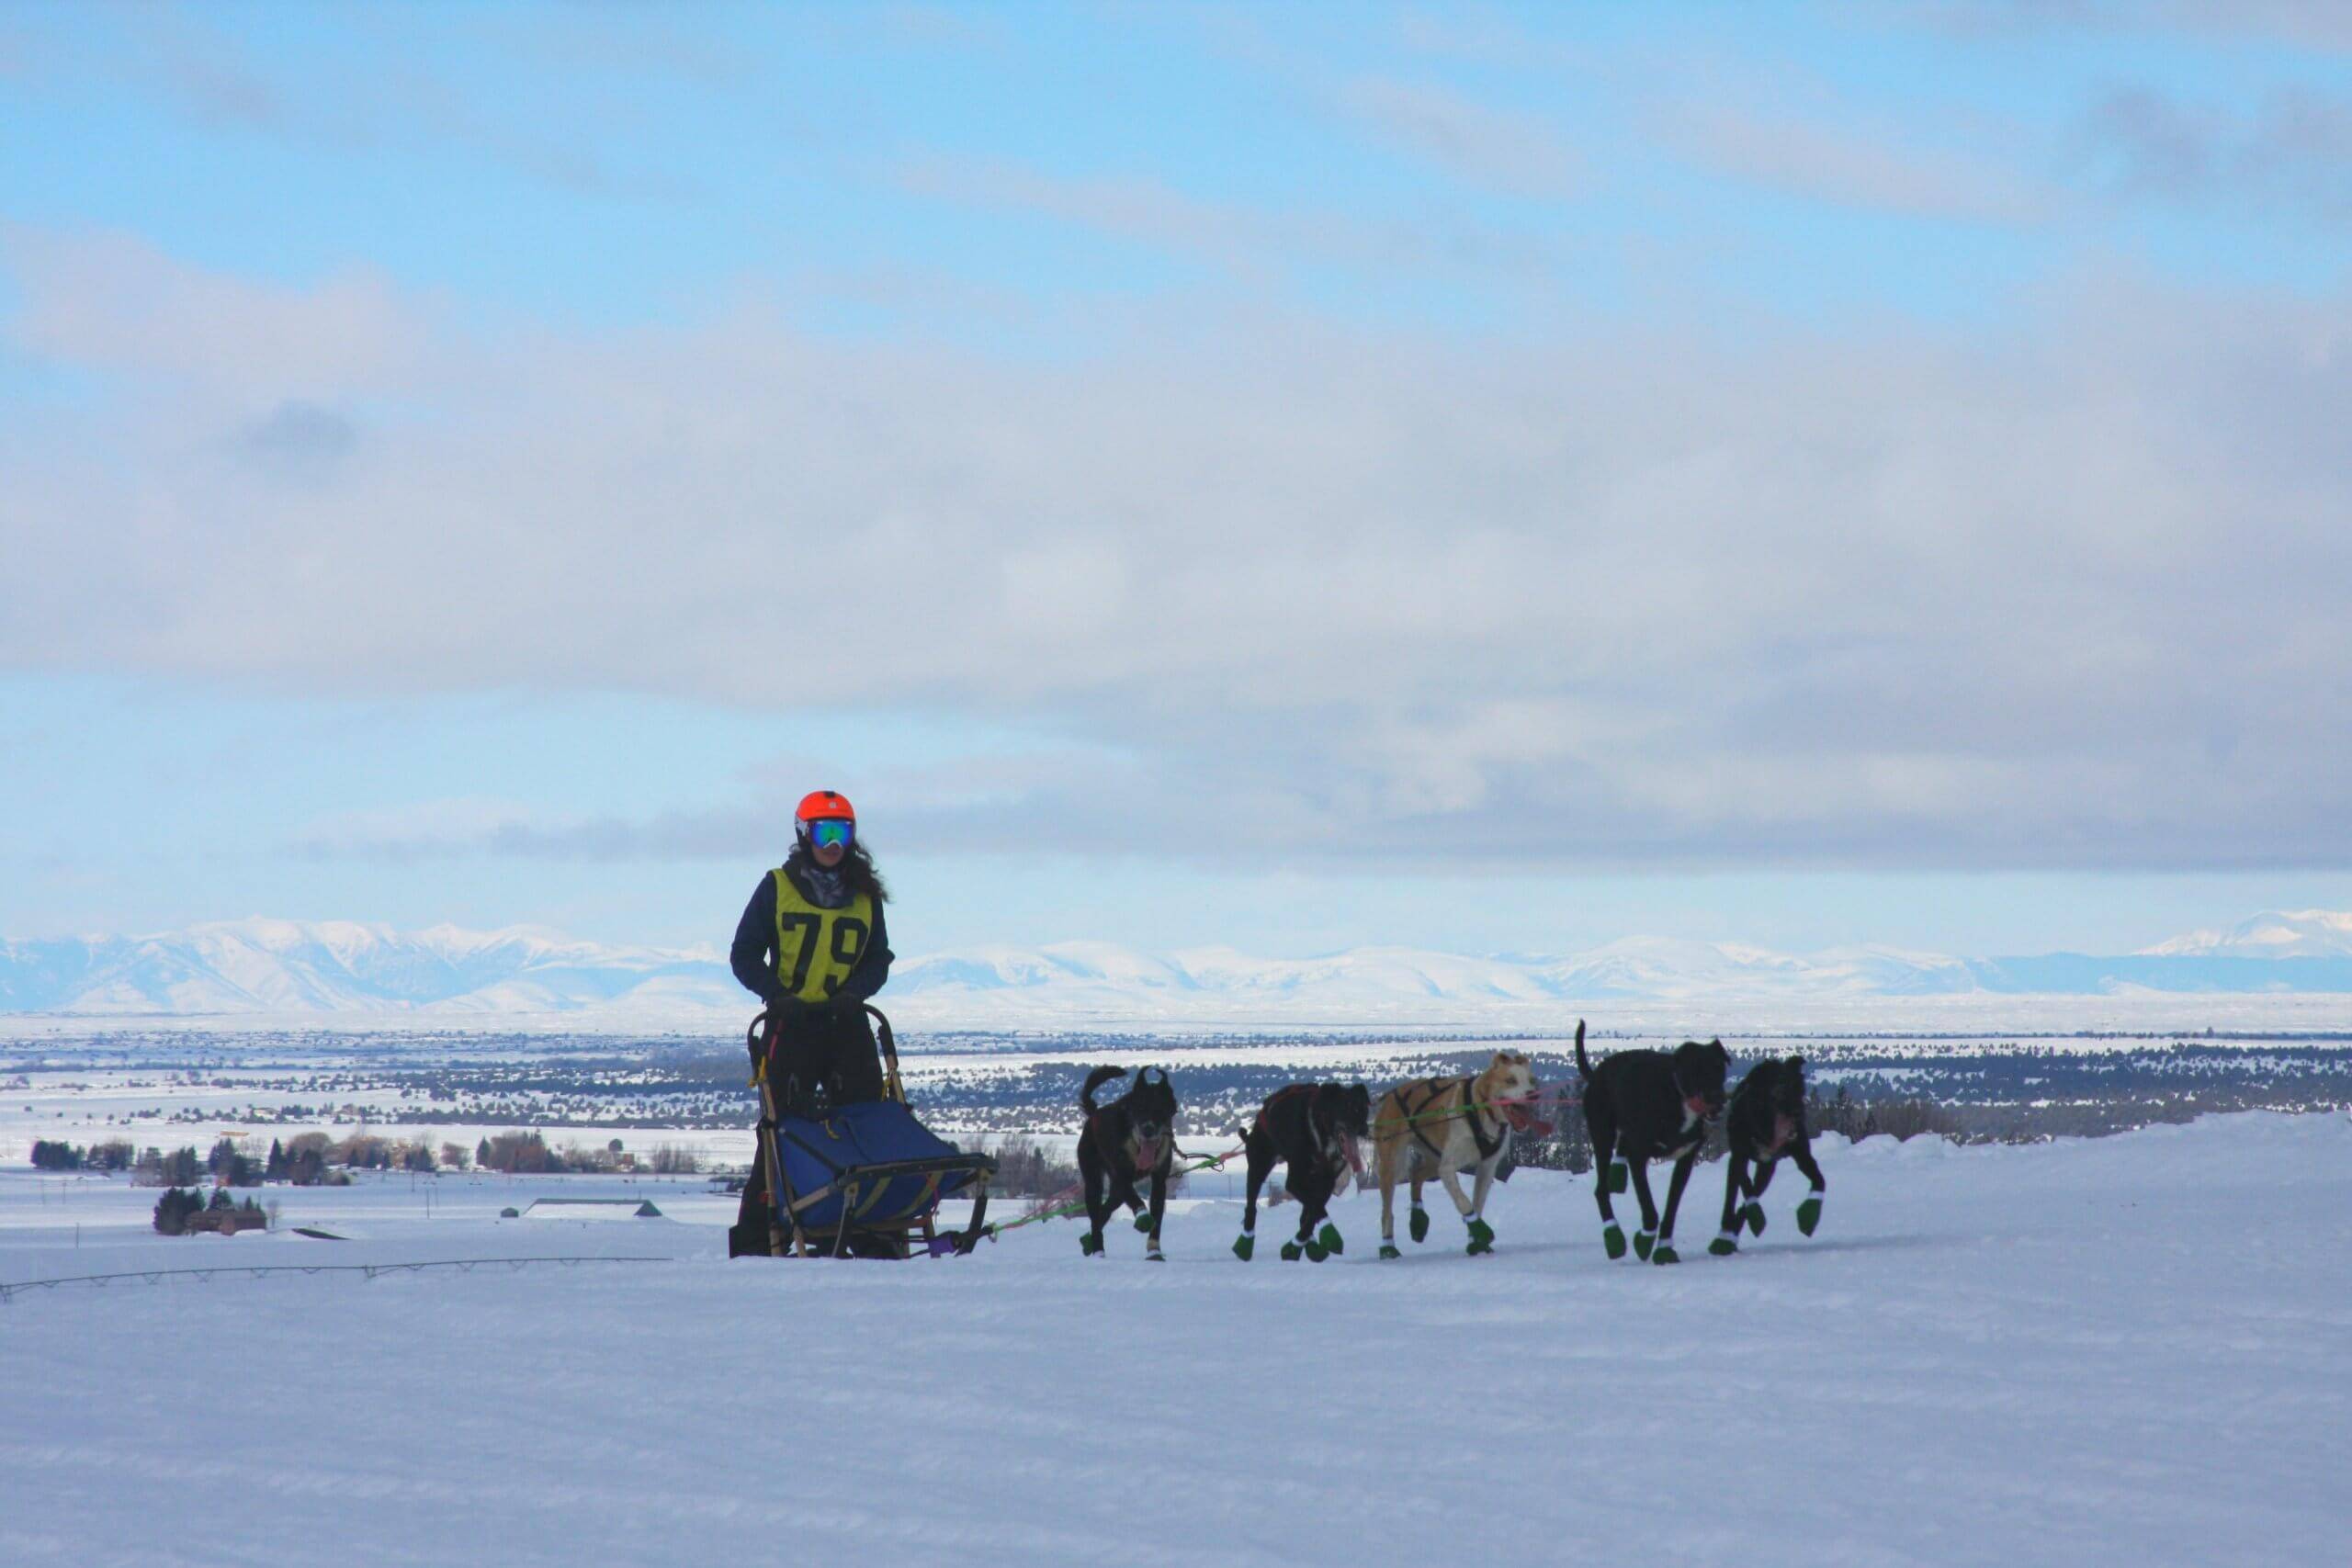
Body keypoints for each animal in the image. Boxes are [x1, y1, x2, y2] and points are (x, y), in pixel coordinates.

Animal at [1077, 1062, 1176, 1269]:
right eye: (1140, 1108)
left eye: (1160, 1110)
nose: (1148, 1130)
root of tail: (1094, 1113)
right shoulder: (1122, 1177)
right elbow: (1137, 1201)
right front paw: (1143, 1218)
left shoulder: (1159, 1180)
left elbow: (1157, 1216)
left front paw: (1154, 1250)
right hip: (1093, 1181)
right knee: (1096, 1216)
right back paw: (1098, 1249)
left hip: (1114, 1192)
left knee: (1104, 1211)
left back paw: (1088, 1241)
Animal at [1232, 1081, 1374, 1259]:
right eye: (1345, 1108)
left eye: (1362, 1109)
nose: (1364, 1129)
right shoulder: (1295, 1182)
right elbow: (1315, 1207)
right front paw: (1328, 1236)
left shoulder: (1327, 1182)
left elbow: (1314, 1209)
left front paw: (1298, 1243)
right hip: (1258, 1167)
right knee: (1251, 1208)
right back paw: (1245, 1243)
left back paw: (1310, 1244)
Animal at [1374, 1053, 1552, 1259]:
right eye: (1510, 1080)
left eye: (1532, 1081)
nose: (1533, 1094)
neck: (1481, 1110)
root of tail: (1390, 1095)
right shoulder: (1448, 1168)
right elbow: (1464, 1202)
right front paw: (1481, 1230)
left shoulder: (1486, 1167)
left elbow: (1478, 1204)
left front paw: (1476, 1243)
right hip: (1393, 1164)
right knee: (1387, 1212)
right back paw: (1388, 1247)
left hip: (1434, 1158)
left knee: (1416, 1175)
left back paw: (1418, 1222)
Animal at [1580, 1024, 1731, 1269]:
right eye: (1698, 1069)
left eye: (1719, 1068)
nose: (1719, 1100)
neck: (1679, 1097)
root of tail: (1598, 1073)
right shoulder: (1639, 1156)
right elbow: (1649, 1208)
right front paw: (1644, 1240)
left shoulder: (1685, 1159)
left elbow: (1671, 1208)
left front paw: (1665, 1248)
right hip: (1602, 1133)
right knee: (1601, 1190)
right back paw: (1614, 1237)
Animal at [1712, 1062, 1834, 1259]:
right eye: (1781, 1089)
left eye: (1800, 1088)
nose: (1799, 1113)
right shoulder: (1738, 1156)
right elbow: (1739, 1190)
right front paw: (1728, 1233)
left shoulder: (1802, 1155)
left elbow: (1819, 1180)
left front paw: (1808, 1217)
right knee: (1741, 1190)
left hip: (1767, 1170)